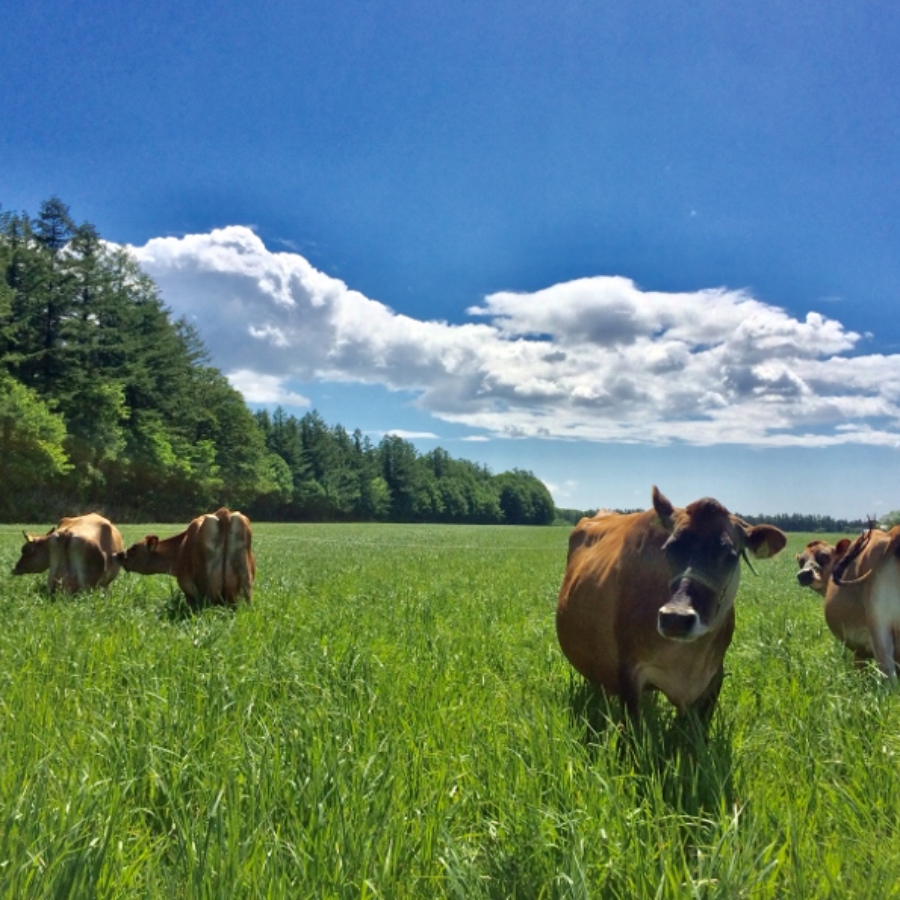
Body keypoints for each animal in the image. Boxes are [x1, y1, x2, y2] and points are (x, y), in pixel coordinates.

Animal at [118, 510, 255, 608]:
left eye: (134, 548)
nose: (120, 556)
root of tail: (224, 513)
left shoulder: (187, 587)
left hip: (205, 588)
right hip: (246, 584)